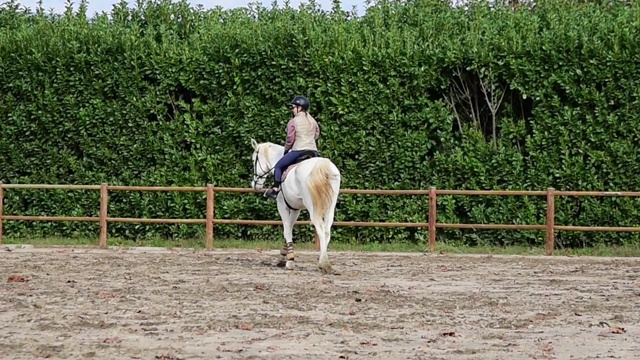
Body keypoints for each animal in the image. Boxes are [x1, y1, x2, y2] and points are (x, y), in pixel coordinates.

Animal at [251, 139, 342, 272]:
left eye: (253, 160)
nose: (254, 184)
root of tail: (321, 165)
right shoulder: (295, 209)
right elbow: (290, 227)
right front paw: (284, 255)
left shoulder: (282, 206)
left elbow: (286, 230)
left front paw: (289, 260)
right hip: (330, 206)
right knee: (327, 229)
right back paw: (323, 258)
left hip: (313, 207)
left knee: (319, 226)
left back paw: (323, 263)